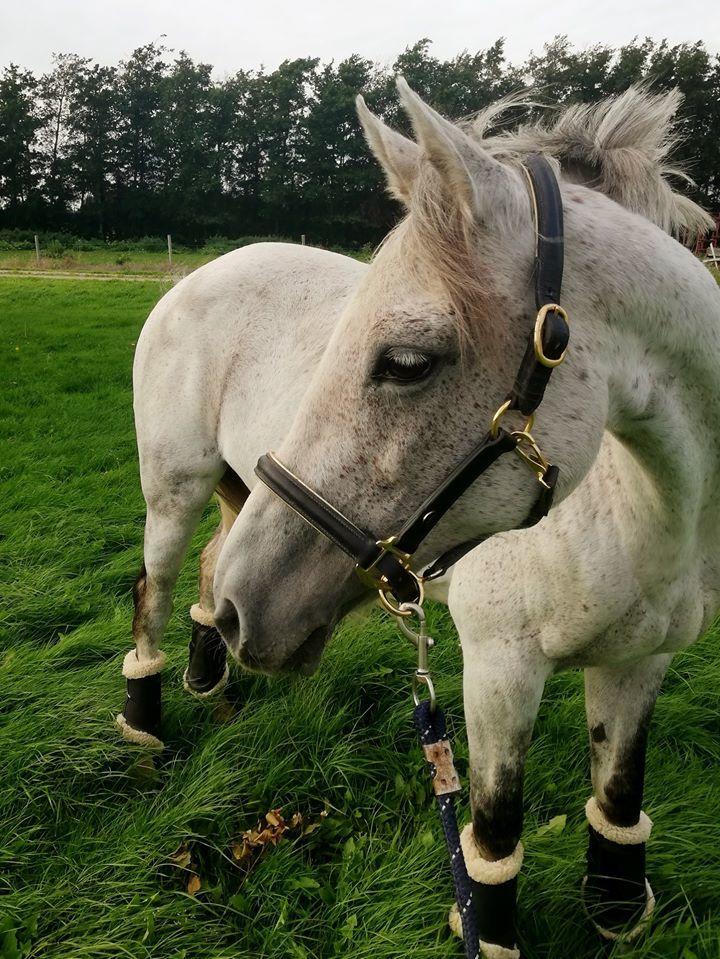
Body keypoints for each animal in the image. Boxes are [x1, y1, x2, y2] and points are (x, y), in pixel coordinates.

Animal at [121, 84, 720, 959]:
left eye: (405, 362)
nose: (248, 613)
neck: (639, 510)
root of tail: (203, 272)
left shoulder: (642, 662)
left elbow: (616, 800)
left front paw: (617, 909)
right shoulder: (500, 667)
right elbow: (495, 836)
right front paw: (486, 926)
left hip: (234, 503)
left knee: (209, 567)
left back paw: (211, 675)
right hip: (175, 489)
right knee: (155, 588)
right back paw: (147, 718)